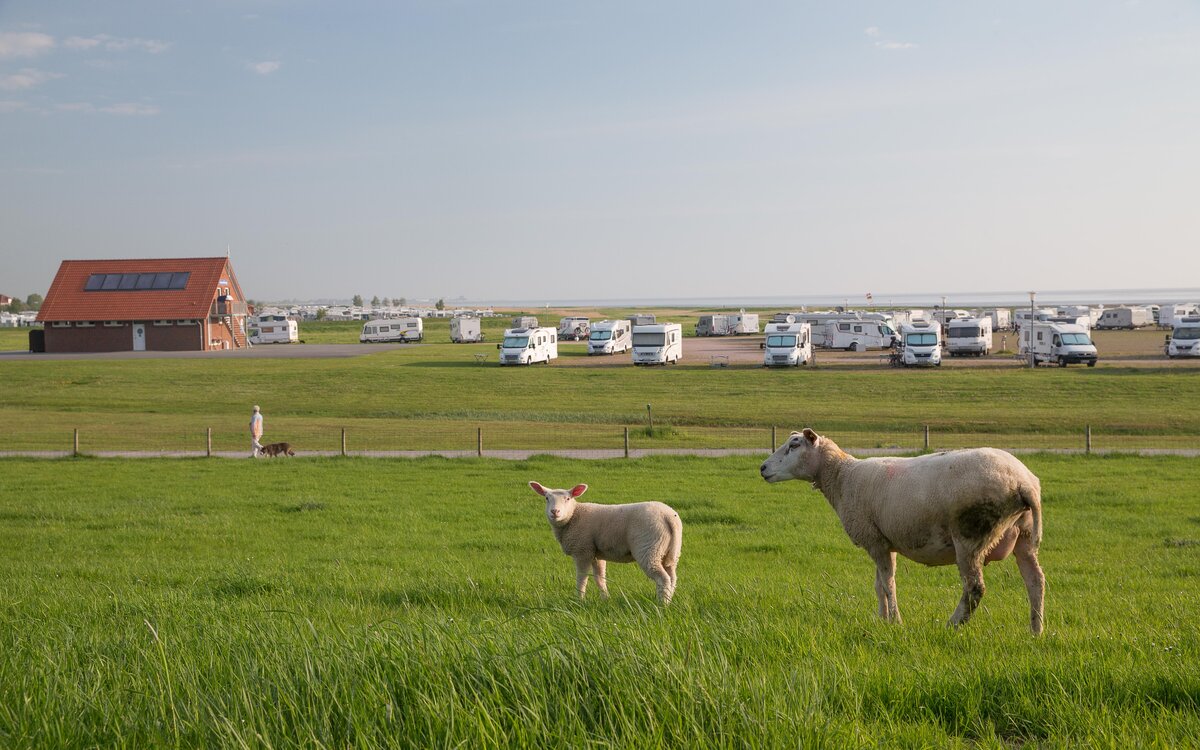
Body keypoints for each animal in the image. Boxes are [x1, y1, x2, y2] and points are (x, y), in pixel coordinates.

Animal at [529, 482, 682, 604]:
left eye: (567, 498)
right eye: (547, 498)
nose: (555, 512)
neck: (573, 516)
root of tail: (668, 516)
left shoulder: (582, 551)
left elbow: (582, 578)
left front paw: (579, 600)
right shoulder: (596, 554)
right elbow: (600, 578)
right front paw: (605, 599)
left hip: (648, 548)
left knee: (663, 578)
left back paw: (662, 604)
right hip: (669, 552)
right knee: (672, 577)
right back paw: (669, 600)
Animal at [760, 428, 1045, 634]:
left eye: (794, 445)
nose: (762, 468)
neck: (842, 477)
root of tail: (1022, 482)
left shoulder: (874, 539)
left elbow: (888, 584)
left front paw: (895, 622)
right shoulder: (884, 541)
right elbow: (878, 585)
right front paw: (881, 619)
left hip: (970, 535)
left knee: (974, 588)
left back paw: (951, 625)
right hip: (1024, 536)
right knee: (1035, 581)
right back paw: (1036, 631)